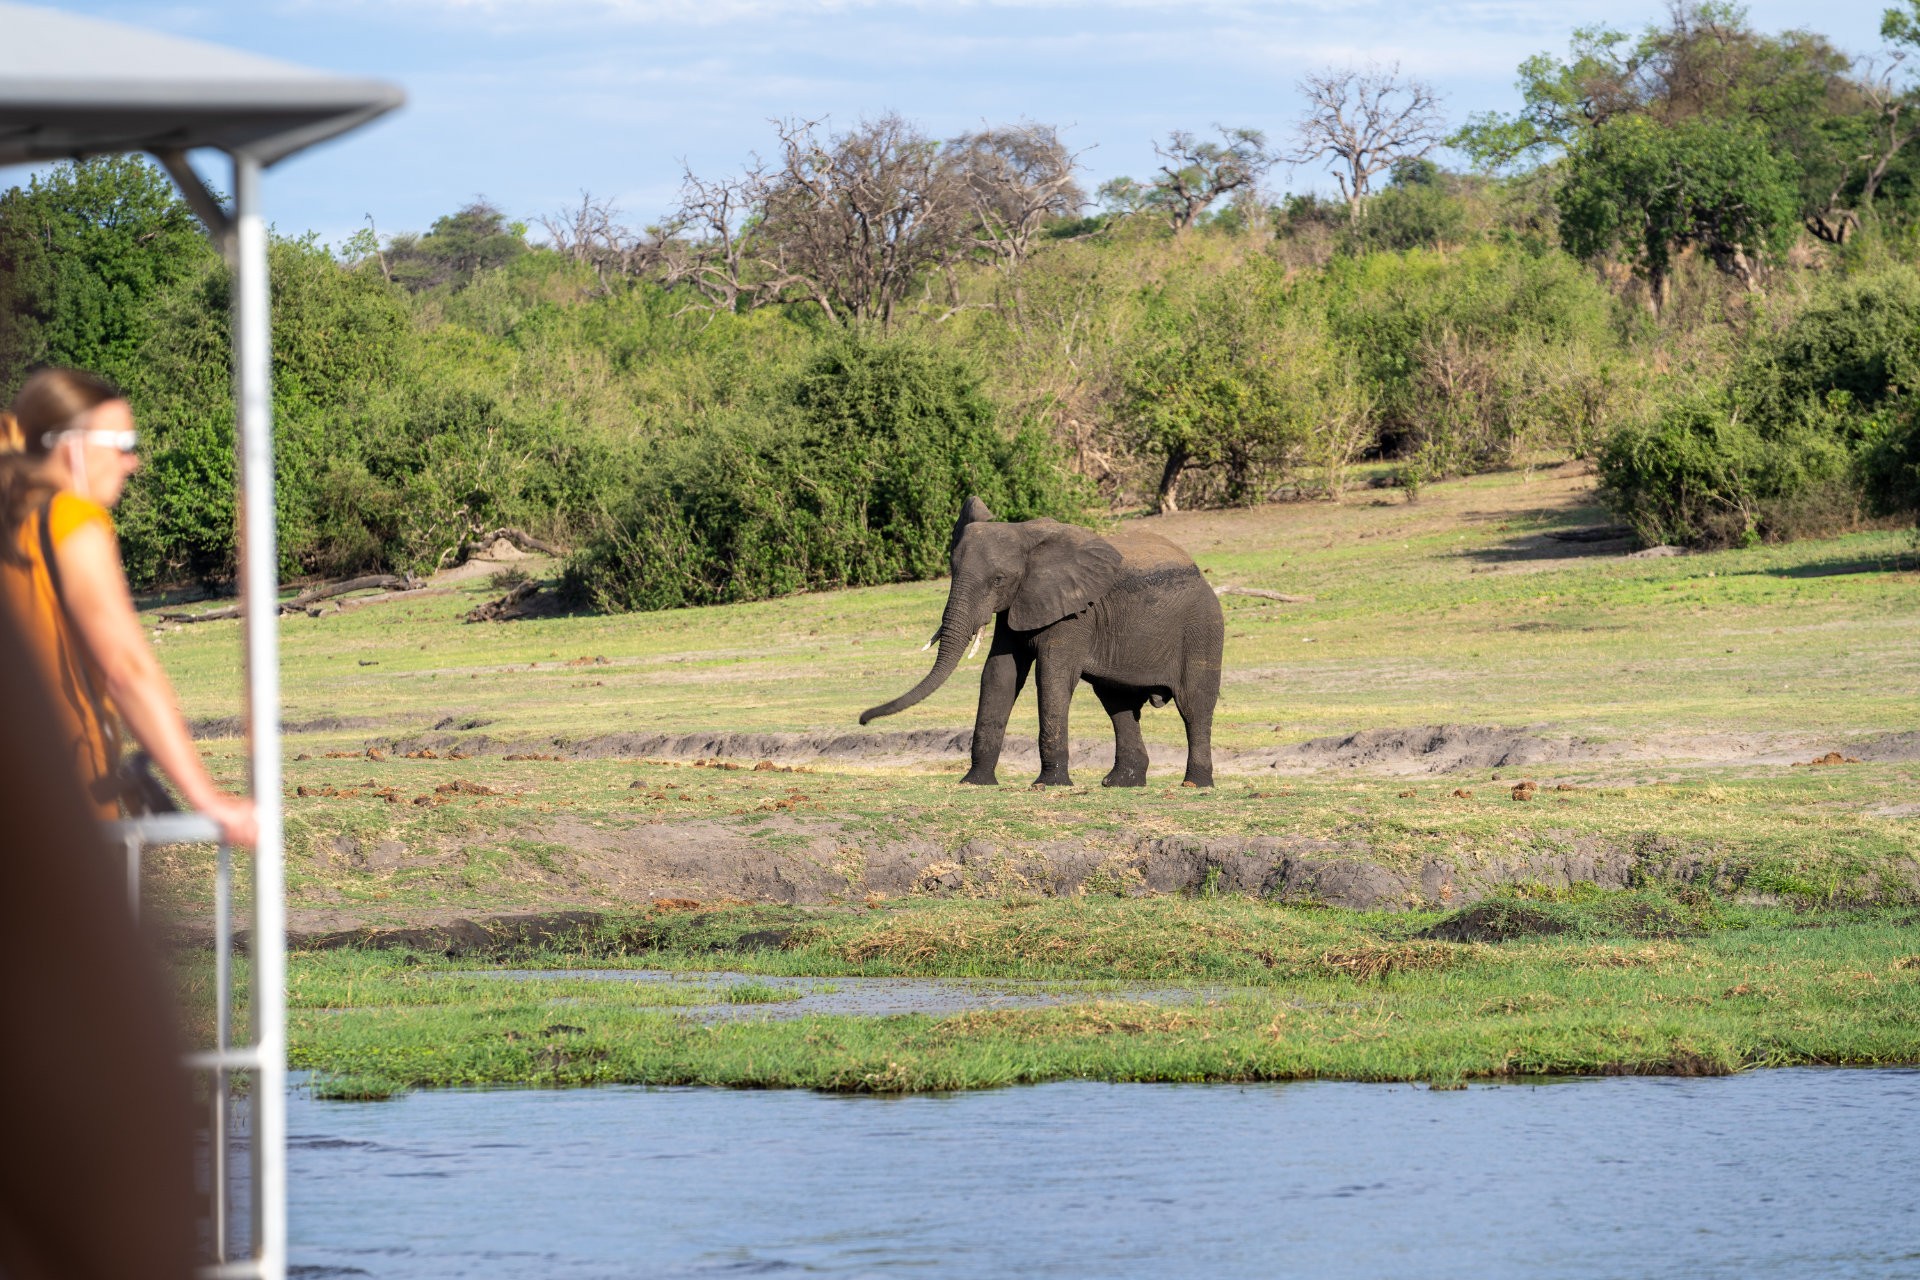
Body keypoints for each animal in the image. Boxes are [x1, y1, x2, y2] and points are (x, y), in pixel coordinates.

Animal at [859, 497, 1224, 788]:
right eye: (952, 570)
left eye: (998, 580)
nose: (863, 719)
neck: (1026, 537)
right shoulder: (1019, 603)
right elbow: (999, 674)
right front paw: (975, 783)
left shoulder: (1075, 612)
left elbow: (1051, 677)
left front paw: (1049, 785)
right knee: (1117, 703)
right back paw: (1120, 784)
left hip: (1203, 628)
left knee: (1193, 706)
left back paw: (1195, 784)